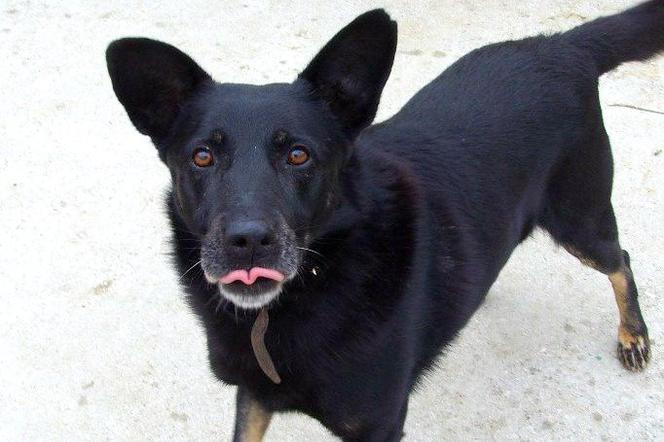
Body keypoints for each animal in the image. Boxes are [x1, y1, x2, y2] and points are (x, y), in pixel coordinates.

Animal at [106, 1, 660, 440]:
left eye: (299, 155)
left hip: (580, 216)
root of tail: (563, 45)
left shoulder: (377, 424)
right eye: (202, 156)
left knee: (621, 258)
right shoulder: (254, 394)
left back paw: (633, 334)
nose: (248, 241)